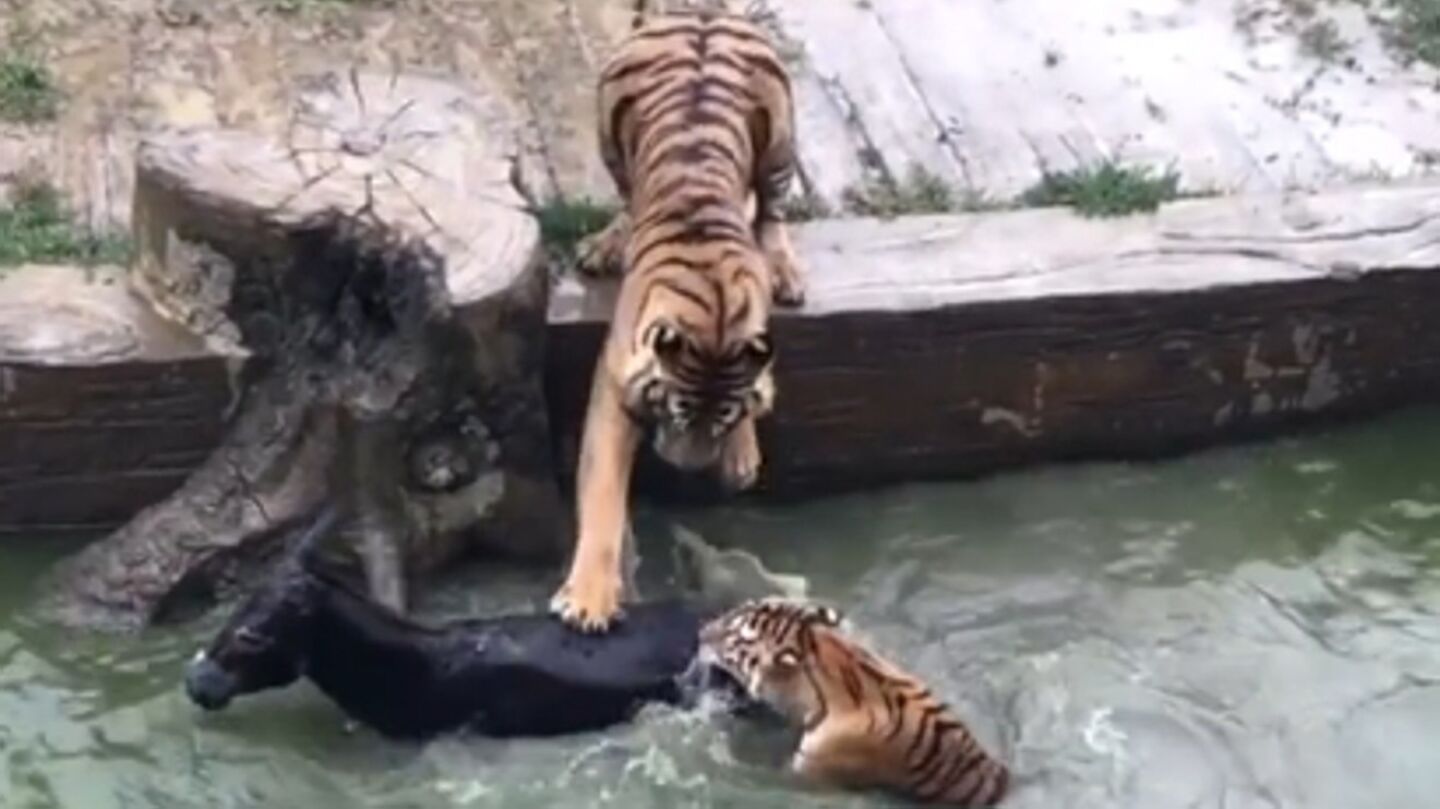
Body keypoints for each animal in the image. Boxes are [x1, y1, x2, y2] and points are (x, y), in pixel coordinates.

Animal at [551, 3, 807, 632]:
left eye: (718, 422)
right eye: (676, 411)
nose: (685, 468)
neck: (715, 316)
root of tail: (700, 10)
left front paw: (741, 455)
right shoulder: (615, 386)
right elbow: (603, 495)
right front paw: (590, 598)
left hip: (779, 137)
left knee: (771, 210)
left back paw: (783, 266)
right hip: (610, 121)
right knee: (625, 196)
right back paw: (607, 244)